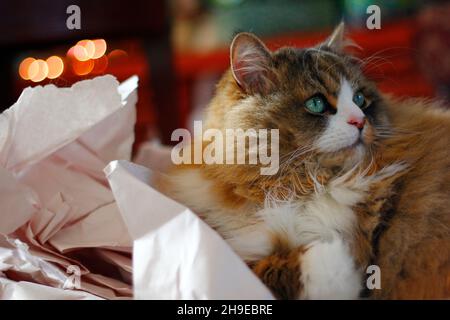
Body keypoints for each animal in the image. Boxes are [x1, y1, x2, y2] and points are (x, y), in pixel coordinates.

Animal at [161, 23, 450, 300]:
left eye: (360, 100)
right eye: (316, 103)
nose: (360, 121)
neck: (299, 185)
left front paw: (338, 255)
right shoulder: (237, 248)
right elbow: (263, 268)